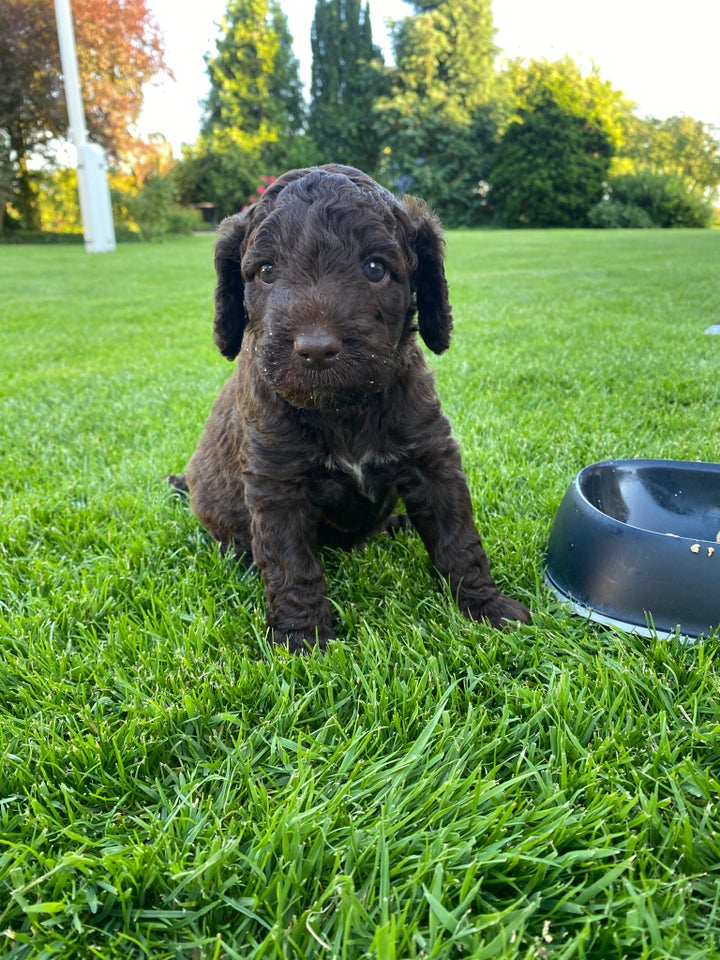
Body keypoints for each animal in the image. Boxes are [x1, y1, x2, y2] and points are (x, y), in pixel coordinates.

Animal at [171, 165, 524, 648]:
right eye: (266, 271)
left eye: (375, 268)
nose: (316, 349)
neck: (343, 409)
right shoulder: (276, 483)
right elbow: (290, 567)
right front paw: (302, 640)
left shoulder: (431, 457)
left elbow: (459, 538)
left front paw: (486, 606)